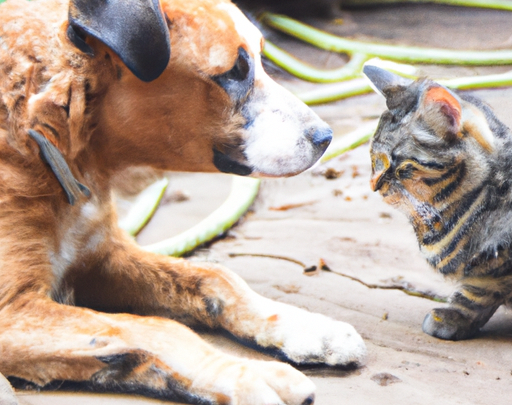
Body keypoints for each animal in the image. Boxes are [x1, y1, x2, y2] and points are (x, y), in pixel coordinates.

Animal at [0, 0, 368, 402]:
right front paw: (245, 375)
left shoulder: (102, 258)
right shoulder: (13, 310)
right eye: (233, 73)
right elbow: (157, 328)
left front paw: (304, 327)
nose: (325, 137)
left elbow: (216, 277)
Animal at [362, 64, 512, 340]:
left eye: (400, 165)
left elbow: (477, 294)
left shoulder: (496, 265)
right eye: (373, 159)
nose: (373, 184)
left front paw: (451, 317)